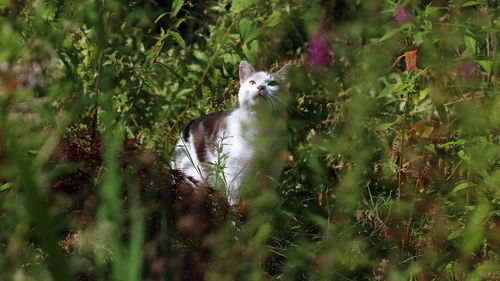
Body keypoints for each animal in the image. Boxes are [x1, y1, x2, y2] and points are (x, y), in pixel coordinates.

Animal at [171, 61, 292, 205]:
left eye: (273, 84)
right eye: (252, 82)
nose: (260, 86)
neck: (262, 126)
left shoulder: (272, 172)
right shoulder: (236, 175)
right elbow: (236, 200)